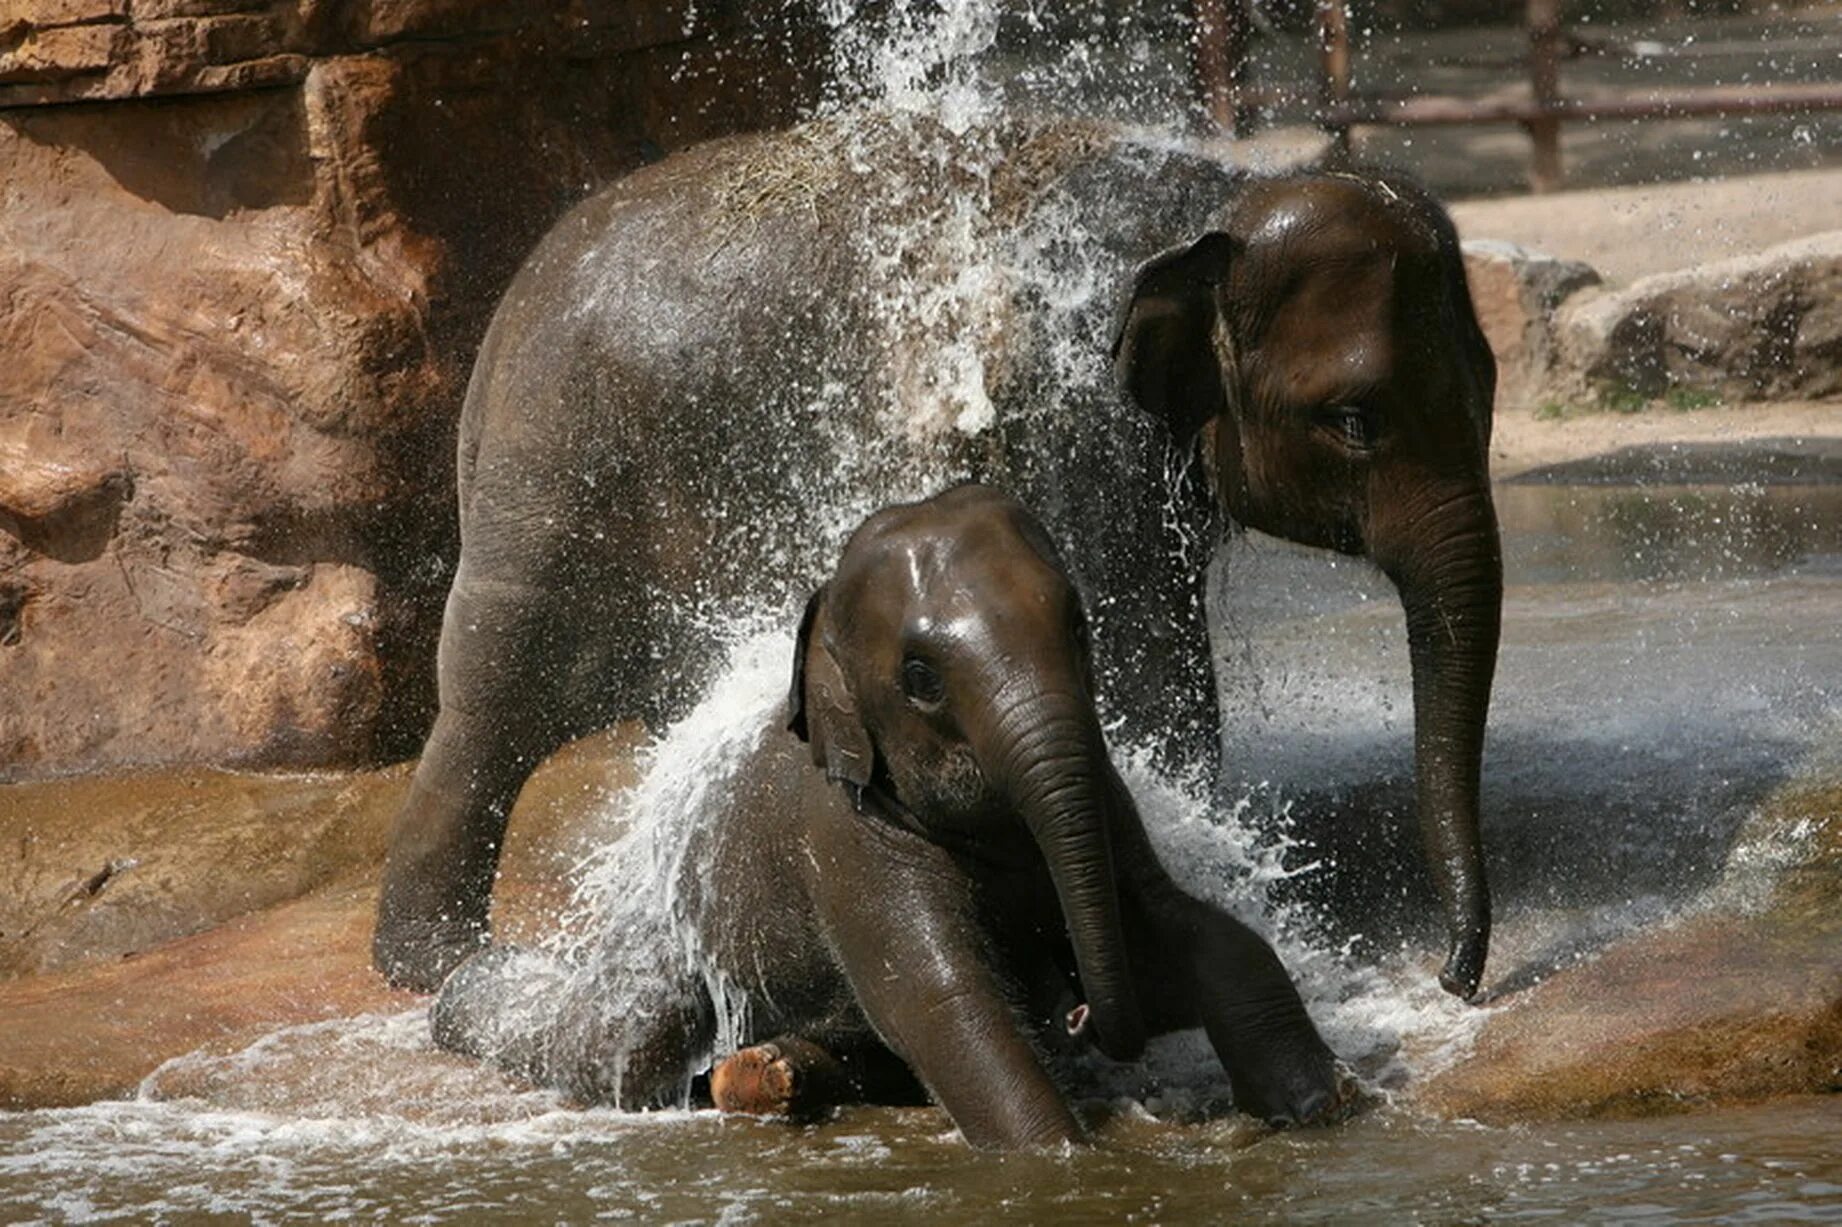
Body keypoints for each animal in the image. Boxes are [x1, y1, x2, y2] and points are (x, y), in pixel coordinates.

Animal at [370, 110, 1495, 1002]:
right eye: (1355, 421)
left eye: (1488, 385)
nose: (1454, 979)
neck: (1211, 195)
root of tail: (502, 329)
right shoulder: (1076, 420)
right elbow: (1147, 657)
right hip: (559, 480)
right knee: (496, 699)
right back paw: (436, 966)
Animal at [438, 479, 1348, 1149]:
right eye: (920, 678)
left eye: (1080, 625)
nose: (1080, 1007)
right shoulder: (849, 839)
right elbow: (945, 1002)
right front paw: (1061, 1157)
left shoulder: (1110, 791)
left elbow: (1203, 931)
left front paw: (1325, 1105)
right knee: (634, 1035)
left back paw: (772, 1073)